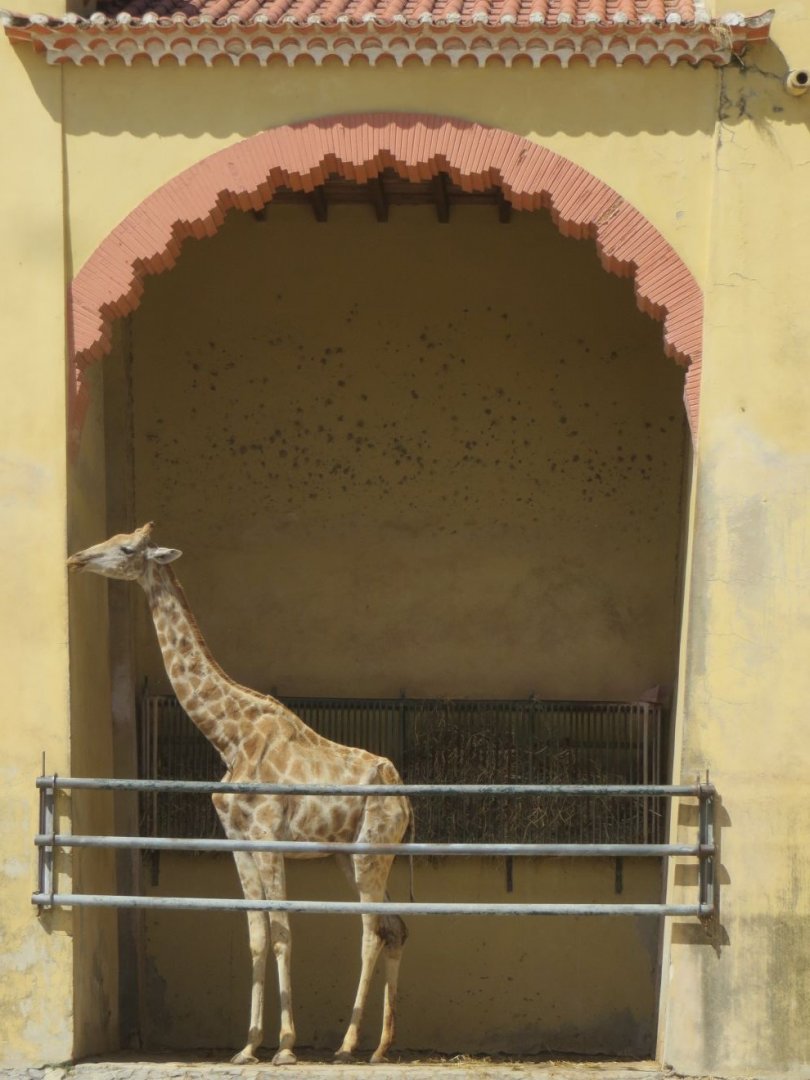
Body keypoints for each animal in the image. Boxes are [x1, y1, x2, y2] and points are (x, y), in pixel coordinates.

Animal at [68, 522, 411, 1066]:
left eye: (125, 547)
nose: (77, 558)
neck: (227, 736)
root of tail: (405, 799)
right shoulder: (239, 841)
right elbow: (256, 934)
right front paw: (248, 1045)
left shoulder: (269, 836)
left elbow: (283, 931)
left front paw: (286, 1047)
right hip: (353, 853)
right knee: (395, 926)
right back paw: (380, 1047)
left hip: (370, 851)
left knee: (370, 931)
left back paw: (346, 1045)